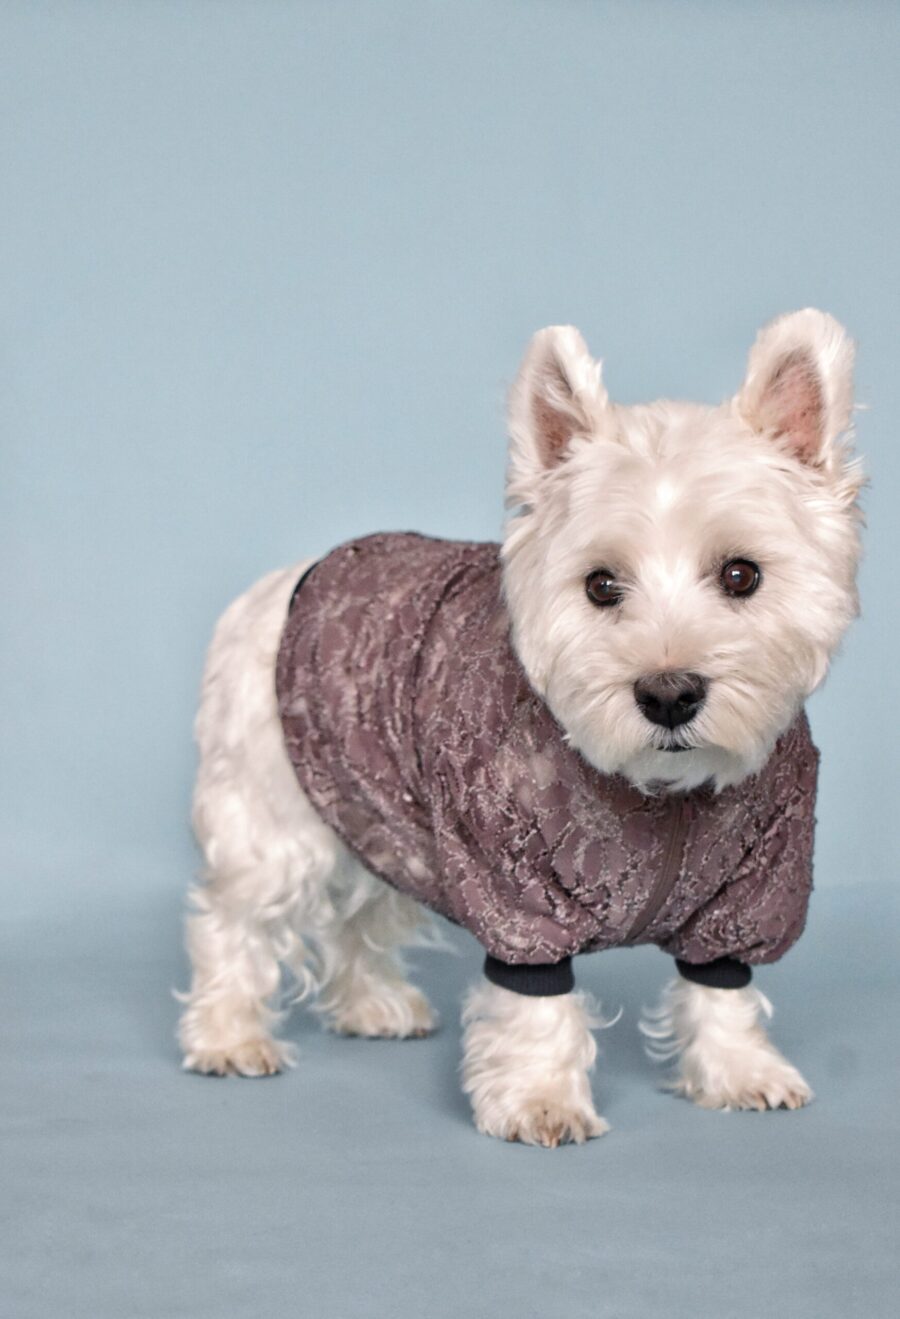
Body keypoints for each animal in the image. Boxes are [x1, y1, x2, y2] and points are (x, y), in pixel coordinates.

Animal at [176, 308, 860, 1144]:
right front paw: (540, 1098)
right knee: (230, 918)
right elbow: (538, 1007)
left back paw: (372, 1003)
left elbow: (721, 988)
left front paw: (740, 1072)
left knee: (361, 906)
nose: (668, 694)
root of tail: (280, 583)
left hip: (384, 811)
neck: (665, 790)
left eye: (742, 574)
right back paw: (228, 1036)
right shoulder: (518, 892)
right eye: (600, 584)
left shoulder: (751, 893)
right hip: (274, 819)